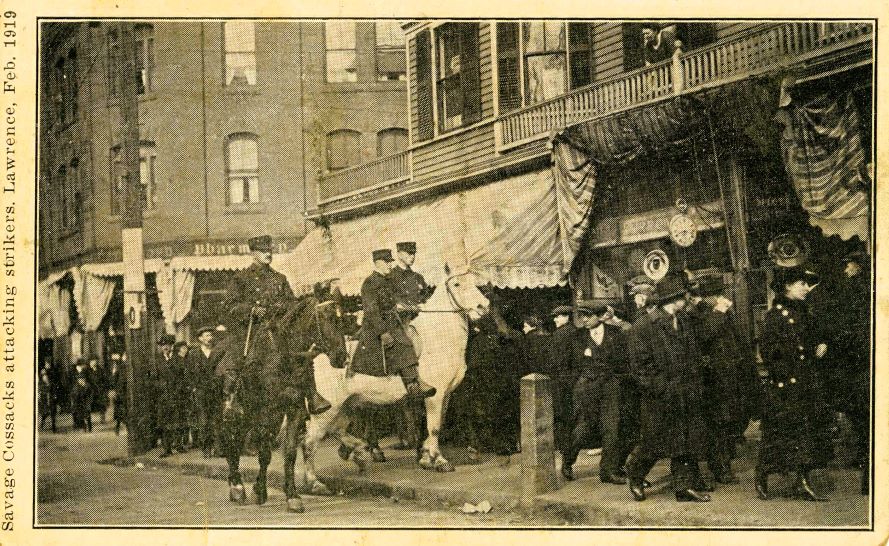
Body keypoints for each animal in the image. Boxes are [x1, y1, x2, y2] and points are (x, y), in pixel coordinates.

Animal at [298, 265, 490, 491]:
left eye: (475, 282)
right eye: (457, 284)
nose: (484, 306)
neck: (439, 337)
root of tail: (315, 357)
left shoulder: (447, 395)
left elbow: (438, 423)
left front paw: (426, 457)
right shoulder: (436, 395)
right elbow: (434, 428)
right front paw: (440, 461)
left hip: (346, 405)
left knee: (336, 429)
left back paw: (359, 452)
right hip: (327, 410)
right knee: (309, 442)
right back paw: (315, 481)